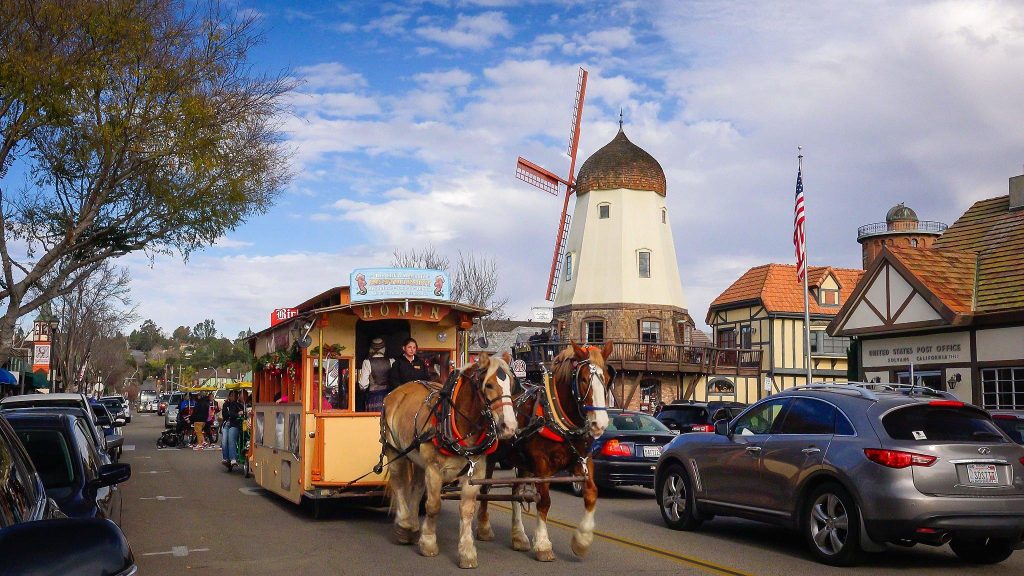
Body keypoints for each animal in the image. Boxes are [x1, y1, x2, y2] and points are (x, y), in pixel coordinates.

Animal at [380, 352, 516, 565]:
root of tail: (397, 392)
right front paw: (428, 544)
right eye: (489, 385)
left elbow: (467, 509)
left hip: (418, 459)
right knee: (399, 484)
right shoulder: (434, 468)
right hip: (394, 451)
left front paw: (467, 551)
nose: (509, 427)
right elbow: (433, 505)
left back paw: (413, 526)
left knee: (416, 487)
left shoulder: (475, 471)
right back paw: (403, 525)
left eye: (512, 384)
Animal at [477, 340, 610, 561]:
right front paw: (542, 544)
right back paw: (484, 528)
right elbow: (544, 502)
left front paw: (582, 541)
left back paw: (519, 536)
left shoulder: (582, 460)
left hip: (521, 462)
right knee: (484, 490)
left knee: (516, 493)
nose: (599, 424)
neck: (559, 416)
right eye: (583, 379)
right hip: (490, 457)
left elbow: (592, 493)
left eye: (607, 379)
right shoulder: (541, 464)